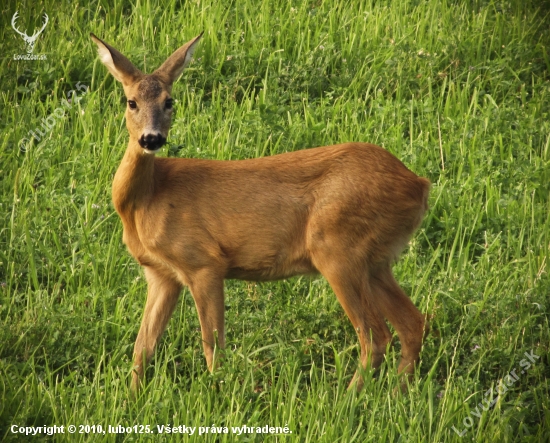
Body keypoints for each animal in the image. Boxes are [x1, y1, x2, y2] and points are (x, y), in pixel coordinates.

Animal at [91, 33, 432, 394]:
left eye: (170, 101)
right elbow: (143, 346)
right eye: (131, 102)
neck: (147, 198)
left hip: (338, 249)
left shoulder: (204, 262)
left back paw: (349, 397)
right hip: (377, 260)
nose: (151, 138)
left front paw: (218, 393)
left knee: (375, 335)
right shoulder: (161, 274)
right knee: (412, 324)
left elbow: (213, 346)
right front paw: (131, 397)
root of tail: (419, 184)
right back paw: (397, 392)